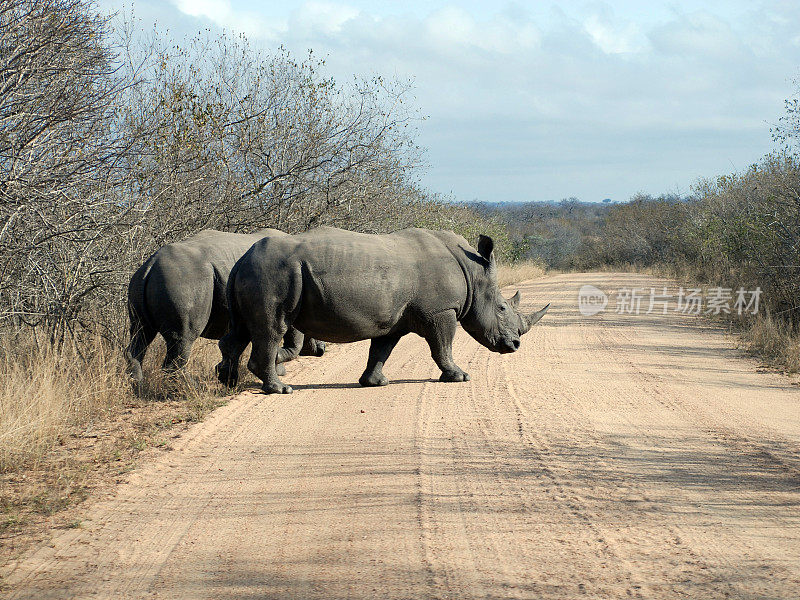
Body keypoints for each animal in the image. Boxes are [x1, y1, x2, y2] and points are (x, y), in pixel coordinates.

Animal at [216, 226, 548, 394]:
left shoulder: (393, 318)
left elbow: (381, 350)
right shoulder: (441, 311)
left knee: (242, 331)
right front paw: (459, 377)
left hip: (254, 273)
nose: (515, 345)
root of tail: (242, 259)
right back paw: (281, 389)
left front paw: (374, 383)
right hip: (271, 274)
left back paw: (227, 382)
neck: (473, 271)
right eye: (502, 308)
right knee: (272, 328)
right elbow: (443, 347)